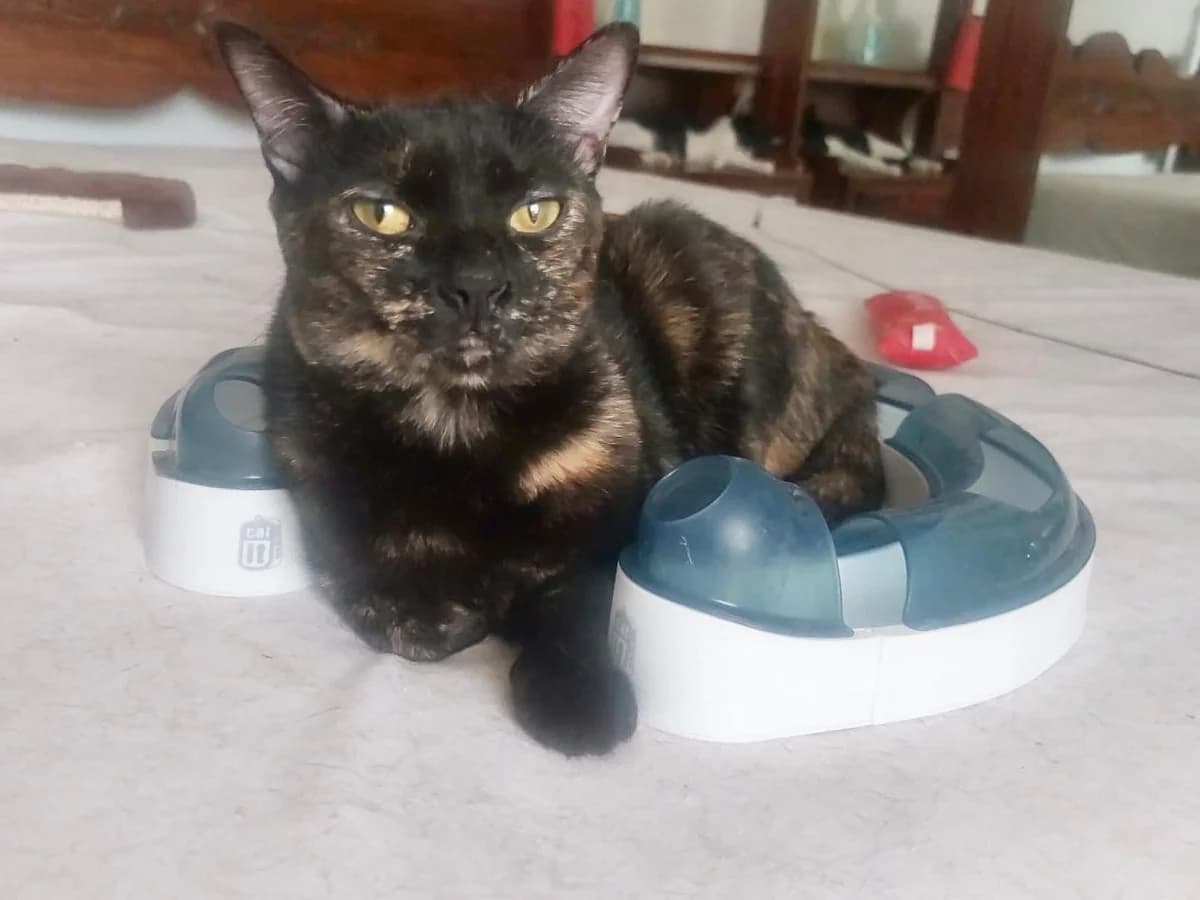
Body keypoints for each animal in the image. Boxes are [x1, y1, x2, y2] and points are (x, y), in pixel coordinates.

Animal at [217, 22, 884, 756]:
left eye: (535, 213)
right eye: (381, 214)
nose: (478, 284)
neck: (454, 425)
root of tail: (844, 357)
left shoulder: (620, 522)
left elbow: (579, 597)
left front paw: (578, 698)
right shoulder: (331, 510)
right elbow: (398, 605)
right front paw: (460, 605)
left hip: (682, 259)